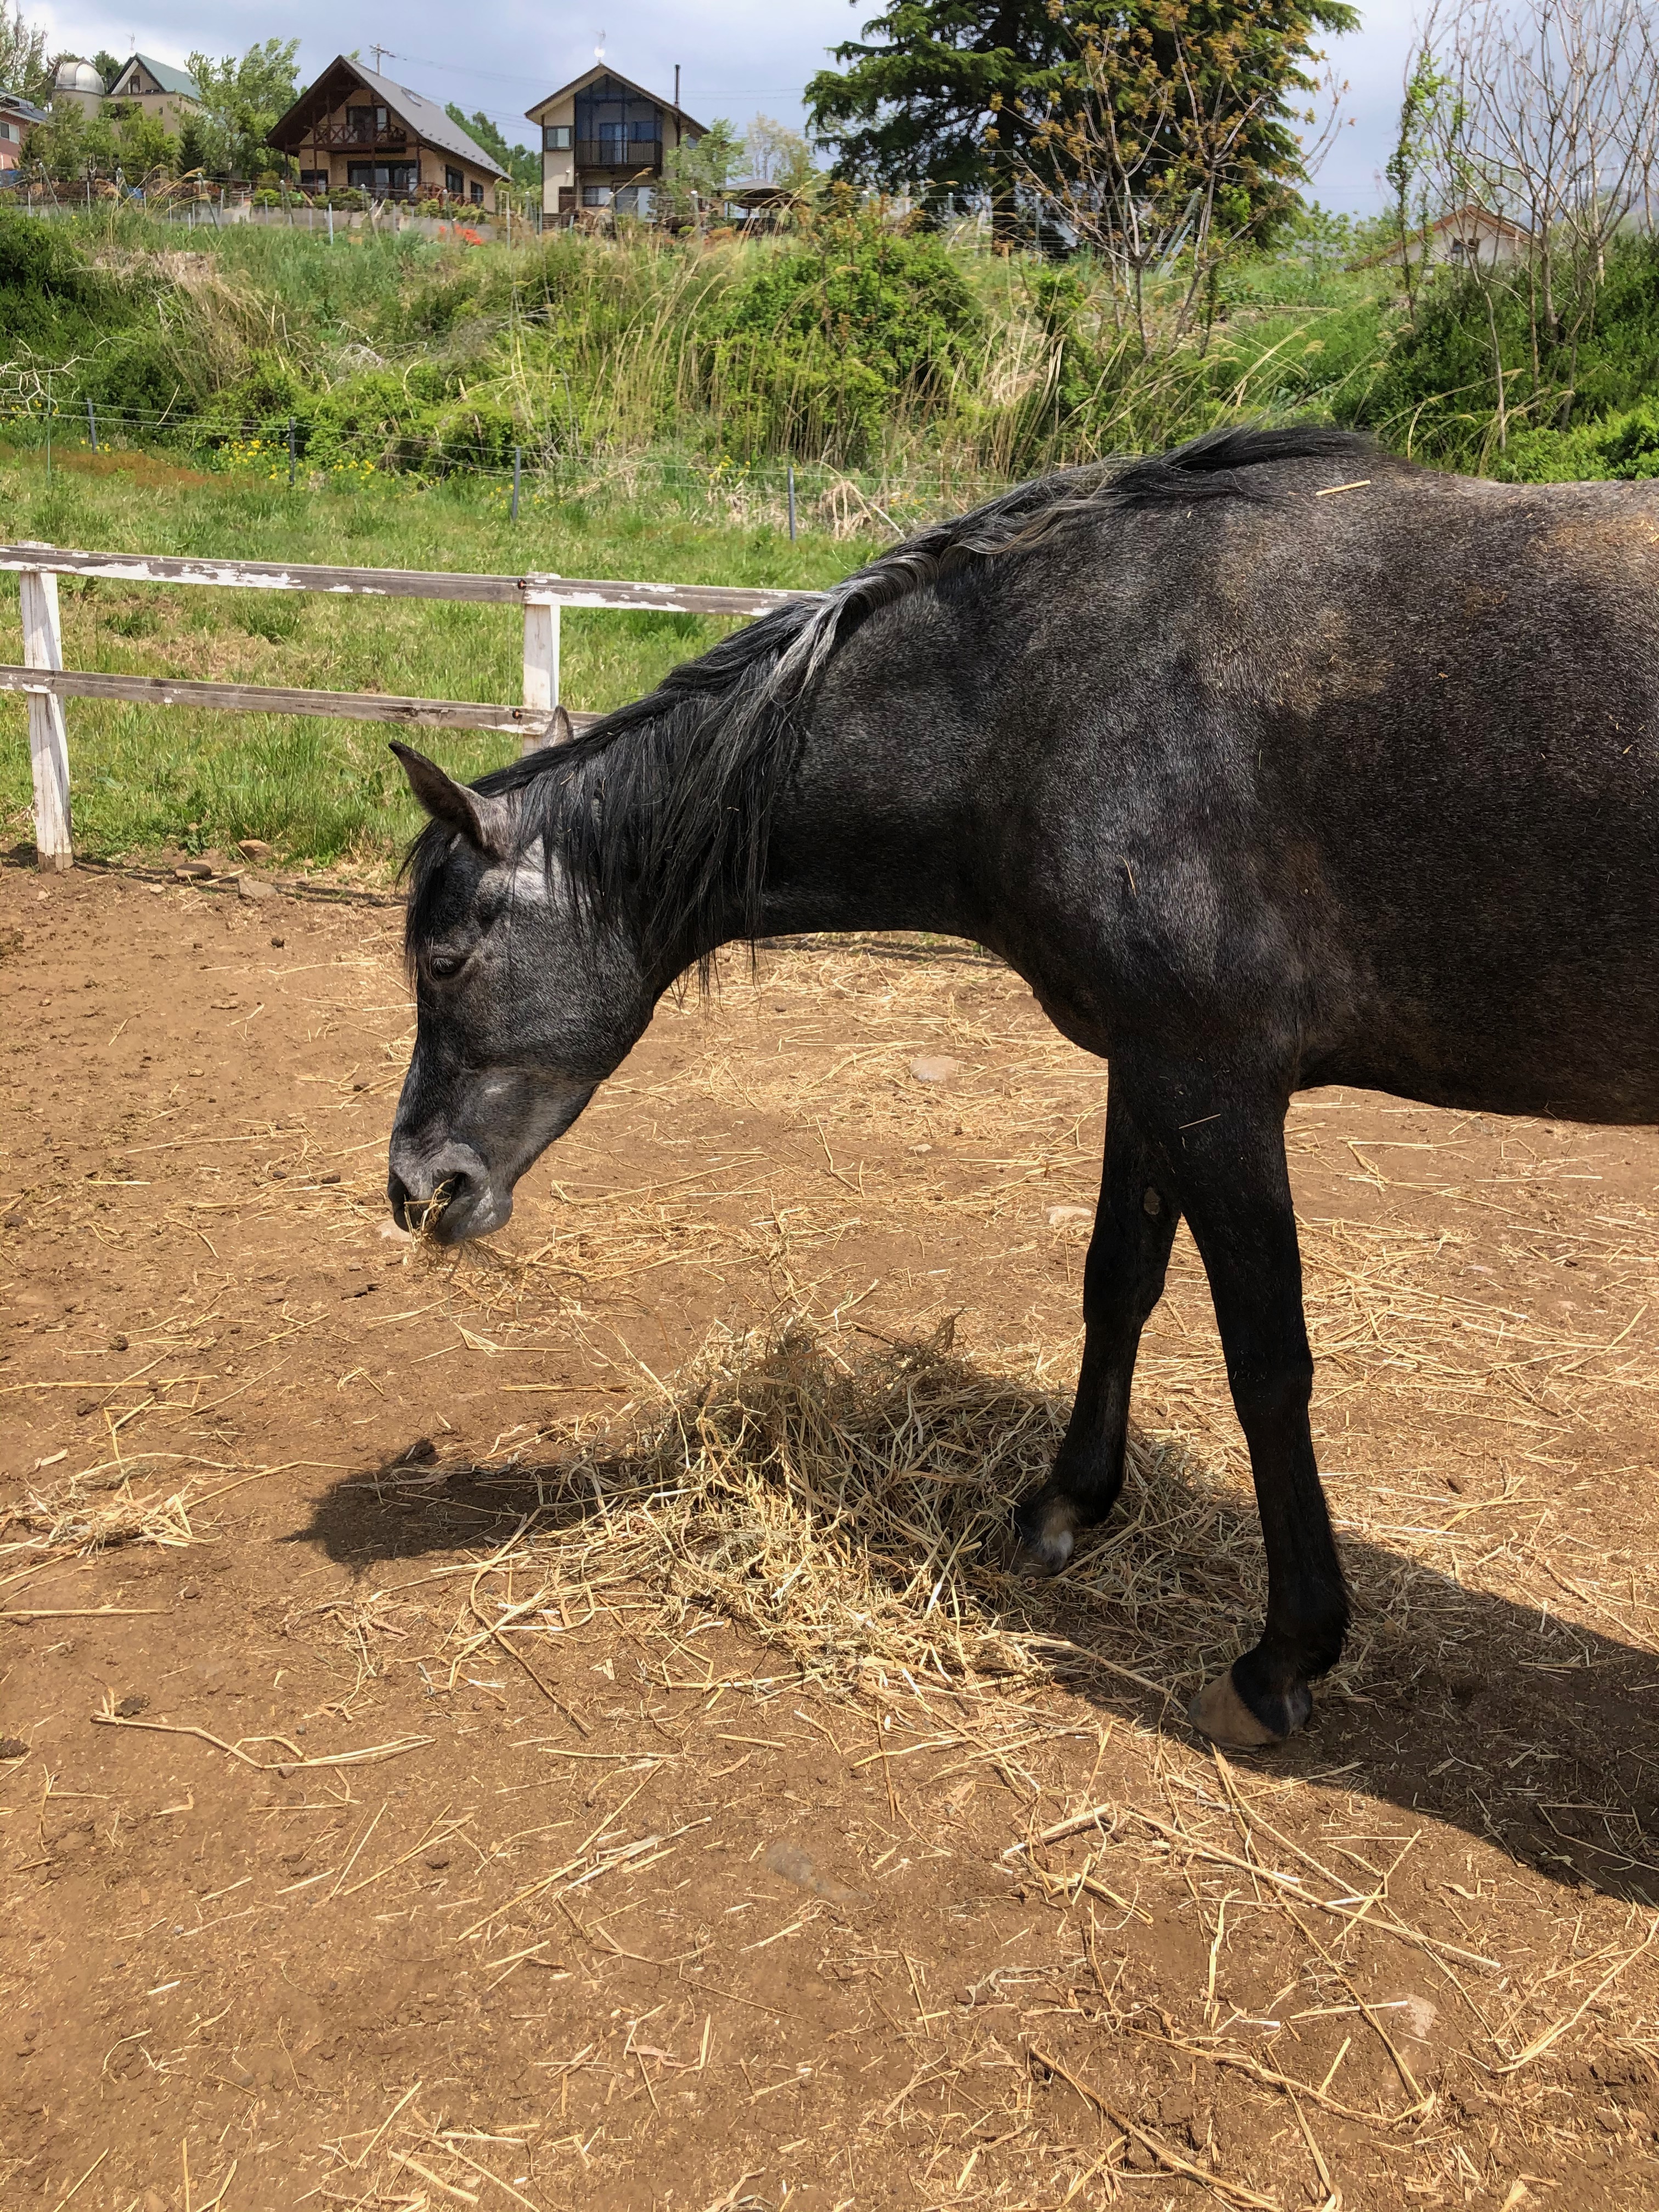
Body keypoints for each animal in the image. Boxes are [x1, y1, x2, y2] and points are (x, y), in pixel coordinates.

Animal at [387, 427, 1659, 1743]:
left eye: (444, 961)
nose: (418, 1187)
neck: (1044, 698)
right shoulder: (1148, 1066)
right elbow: (1118, 1282)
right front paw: (1064, 1505)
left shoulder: (1216, 1082)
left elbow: (1267, 1360)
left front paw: (1286, 1655)